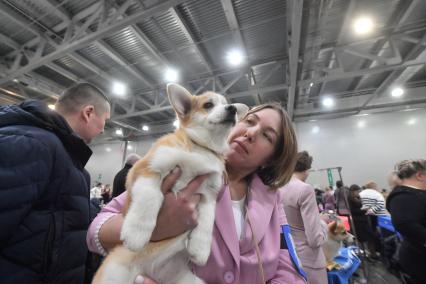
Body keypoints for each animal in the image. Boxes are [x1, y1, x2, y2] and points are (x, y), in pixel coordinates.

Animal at [91, 82, 248, 284]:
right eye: (208, 105)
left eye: (230, 105)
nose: (233, 109)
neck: (200, 148)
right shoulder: (146, 169)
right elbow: (151, 197)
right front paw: (136, 233)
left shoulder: (209, 195)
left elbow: (207, 222)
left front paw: (200, 250)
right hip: (113, 274)